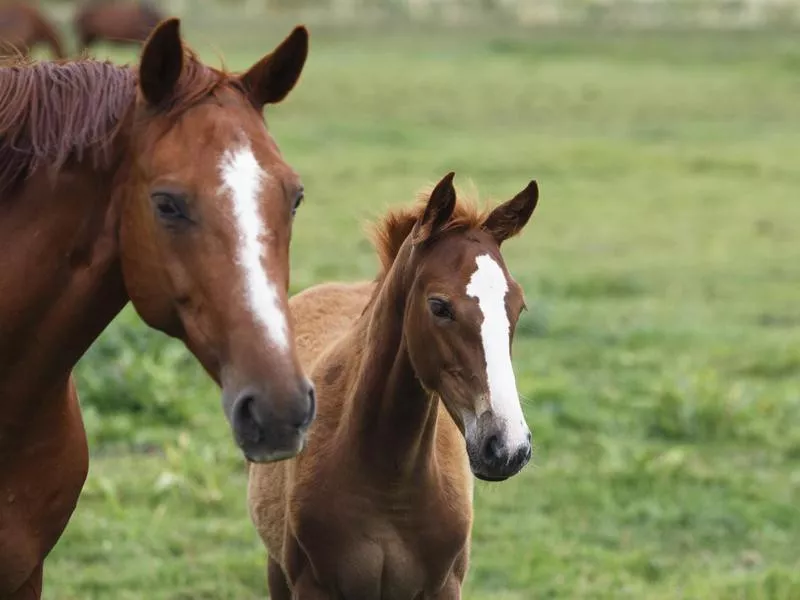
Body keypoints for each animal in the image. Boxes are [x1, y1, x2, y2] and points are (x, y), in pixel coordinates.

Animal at [247, 171, 540, 596]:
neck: (390, 482)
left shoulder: (445, 586)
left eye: (517, 306)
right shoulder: (310, 585)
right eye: (439, 306)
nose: (507, 448)